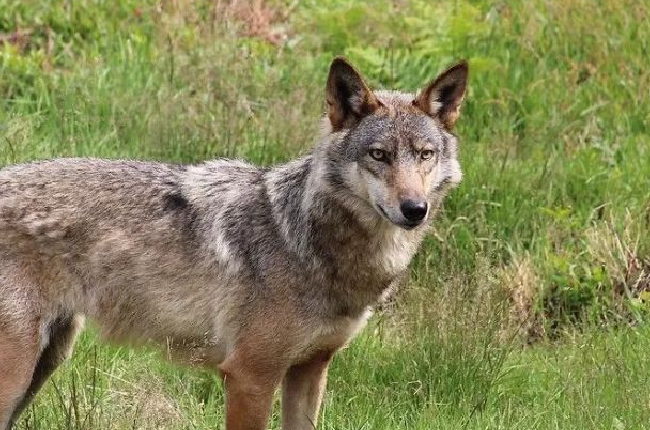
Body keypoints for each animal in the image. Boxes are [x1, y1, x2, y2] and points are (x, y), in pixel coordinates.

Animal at [0, 57, 468, 430]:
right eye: (378, 155)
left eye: (424, 154)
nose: (415, 209)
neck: (304, 243)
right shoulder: (249, 377)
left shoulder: (310, 371)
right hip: (20, 372)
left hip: (47, 362)